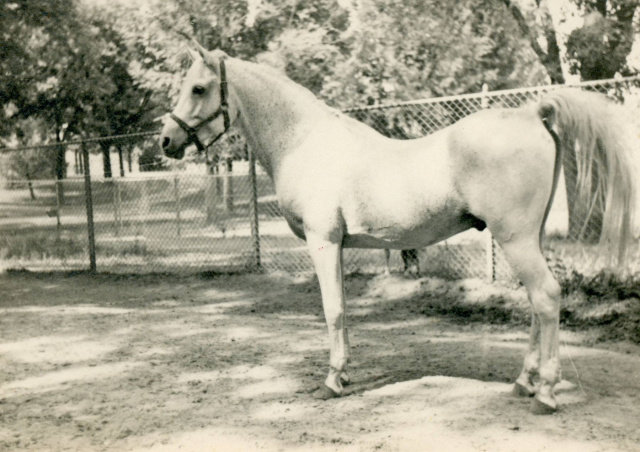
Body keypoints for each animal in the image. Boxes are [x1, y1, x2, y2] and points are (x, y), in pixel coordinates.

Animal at [159, 44, 636, 414]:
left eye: (198, 88)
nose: (166, 141)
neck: (304, 141)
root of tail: (531, 113)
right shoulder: (338, 246)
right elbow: (344, 310)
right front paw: (344, 375)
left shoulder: (322, 242)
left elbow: (333, 310)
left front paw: (331, 382)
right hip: (527, 239)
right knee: (538, 304)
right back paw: (524, 382)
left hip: (515, 239)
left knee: (547, 297)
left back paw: (547, 394)